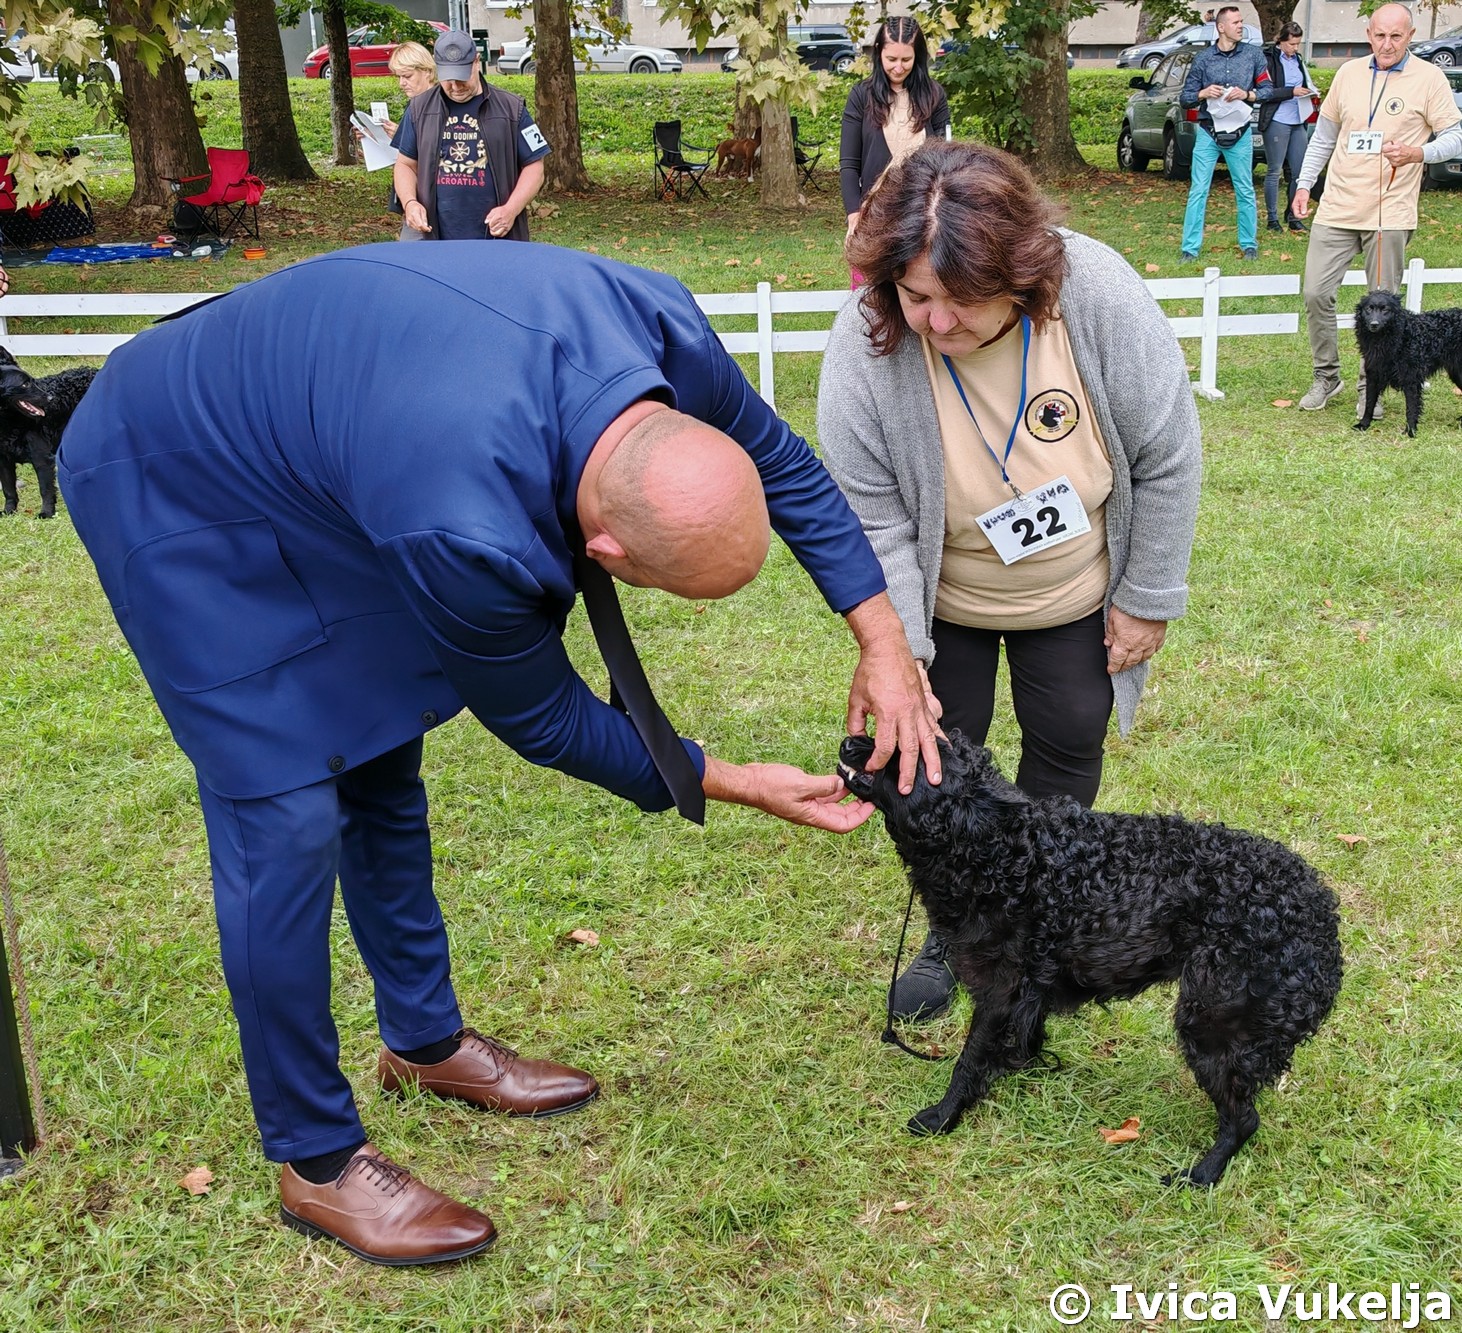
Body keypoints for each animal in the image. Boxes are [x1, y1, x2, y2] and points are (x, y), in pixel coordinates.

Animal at [0, 347, 97, 519]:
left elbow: (45, 490)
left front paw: (46, 512)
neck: (11, 422)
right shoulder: (4, 461)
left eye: (31, 381)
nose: (51, 398)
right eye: (24, 384)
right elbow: (8, 490)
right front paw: (9, 511)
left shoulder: (42, 459)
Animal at [837, 731, 1343, 1186]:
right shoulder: (1027, 988)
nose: (848, 742)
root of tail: (1323, 918)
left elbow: (969, 1061)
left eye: (912, 759)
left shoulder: (999, 990)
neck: (1002, 852)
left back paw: (1200, 1175)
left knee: (1243, 1119)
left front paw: (941, 1116)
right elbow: (1023, 1036)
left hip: (1212, 1025)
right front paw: (1024, 1065)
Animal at [1353, 288, 1462, 436]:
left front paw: (1410, 431)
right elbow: (1369, 404)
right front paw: (1364, 424)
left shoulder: (1411, 379)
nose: (1374, 324)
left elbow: (1411, 407)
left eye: (1385, 309)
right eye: (1369, 309)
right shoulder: (1373, 376)